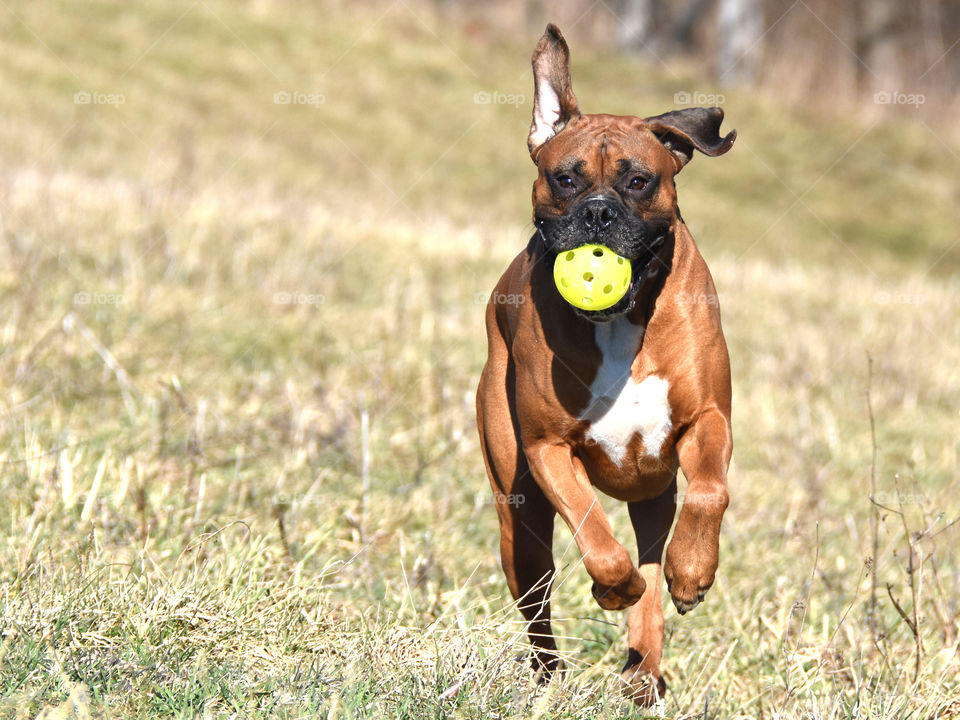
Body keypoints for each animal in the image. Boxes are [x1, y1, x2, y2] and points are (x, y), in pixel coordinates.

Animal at [476, 26, 740, 704]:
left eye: (640, 181)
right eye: (565, 179)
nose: (598, 211)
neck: (623, 324)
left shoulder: (708, 421)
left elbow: (710, 492)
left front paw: (692, 572)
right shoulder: (548, 449)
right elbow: (595, 533)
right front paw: (612, 586)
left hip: (653, 497)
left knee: (653, 573)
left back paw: (644, 669)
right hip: (520, 526)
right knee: (540, 606)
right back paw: (552, 677)